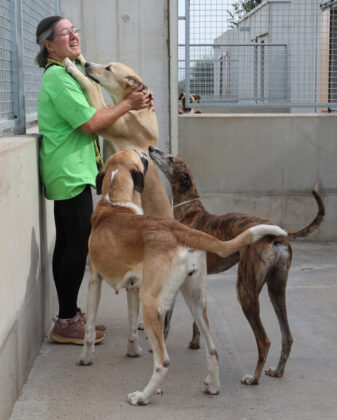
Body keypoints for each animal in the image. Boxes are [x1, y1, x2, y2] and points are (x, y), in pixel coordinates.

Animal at [63, 56, 173, 218]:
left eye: (109, 68)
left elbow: (90, 85)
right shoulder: (106, 111)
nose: (87, 64)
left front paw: (72, 67)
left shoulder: (102, 119)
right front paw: (78, 62)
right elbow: (95, 87)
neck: (132, 108)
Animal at [78, 149, 286, 406]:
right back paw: (212, 387)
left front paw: (86, 358)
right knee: (212, 349)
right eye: (138, 155)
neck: (114, 201)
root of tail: (183, 231)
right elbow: (131, 327)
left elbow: (89, 329)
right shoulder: (133, 288)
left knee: (163, 361)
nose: (146, 150)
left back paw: (143, 396)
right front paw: (132, 351)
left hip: (152, 303)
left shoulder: (95, 281)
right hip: (195, 302)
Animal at [149, 146, 322, 386]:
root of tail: (276, 236)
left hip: (245, 290)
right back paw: (277, 371)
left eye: (171, 157)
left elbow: (167, 320)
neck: (190, 211)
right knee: (287, 336)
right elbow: (197, 318)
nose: (150, 148)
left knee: (264, 340)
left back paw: (254, 377)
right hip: (276, 289)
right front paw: (195, 341)